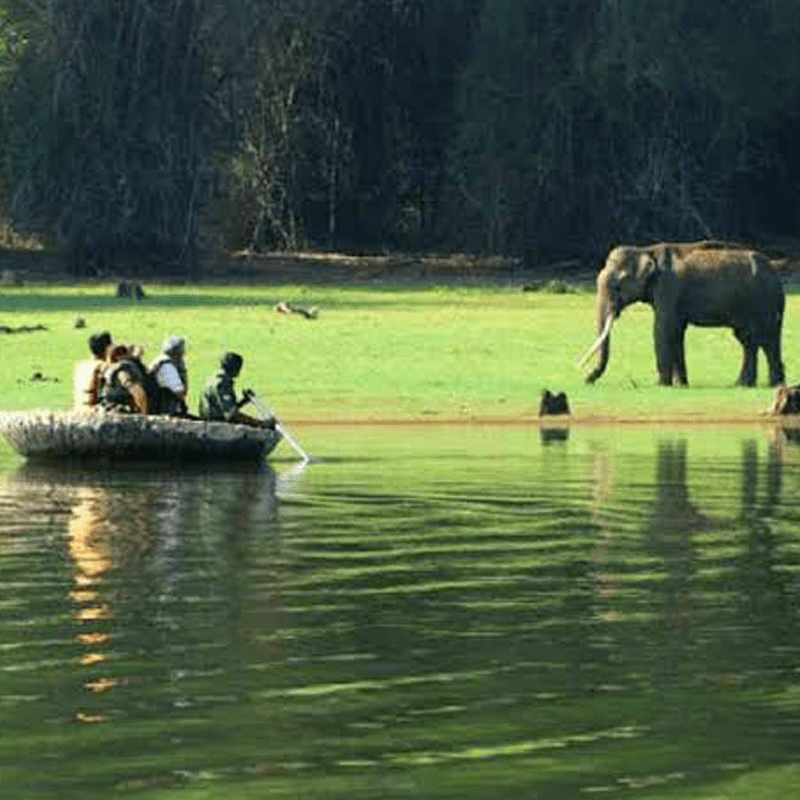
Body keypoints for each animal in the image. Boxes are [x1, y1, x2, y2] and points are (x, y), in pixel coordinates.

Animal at [580, 239, 784, 386]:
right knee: (752, 340)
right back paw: (753, 384)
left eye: (618, 285)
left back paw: (765, 384)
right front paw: (680, 384)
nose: (587, 379)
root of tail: (775, 271)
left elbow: (662, 328)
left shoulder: (667, 287)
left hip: (762, 302)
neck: (646, 250)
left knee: (761, 339)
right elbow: (676, 331)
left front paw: (661, 384)